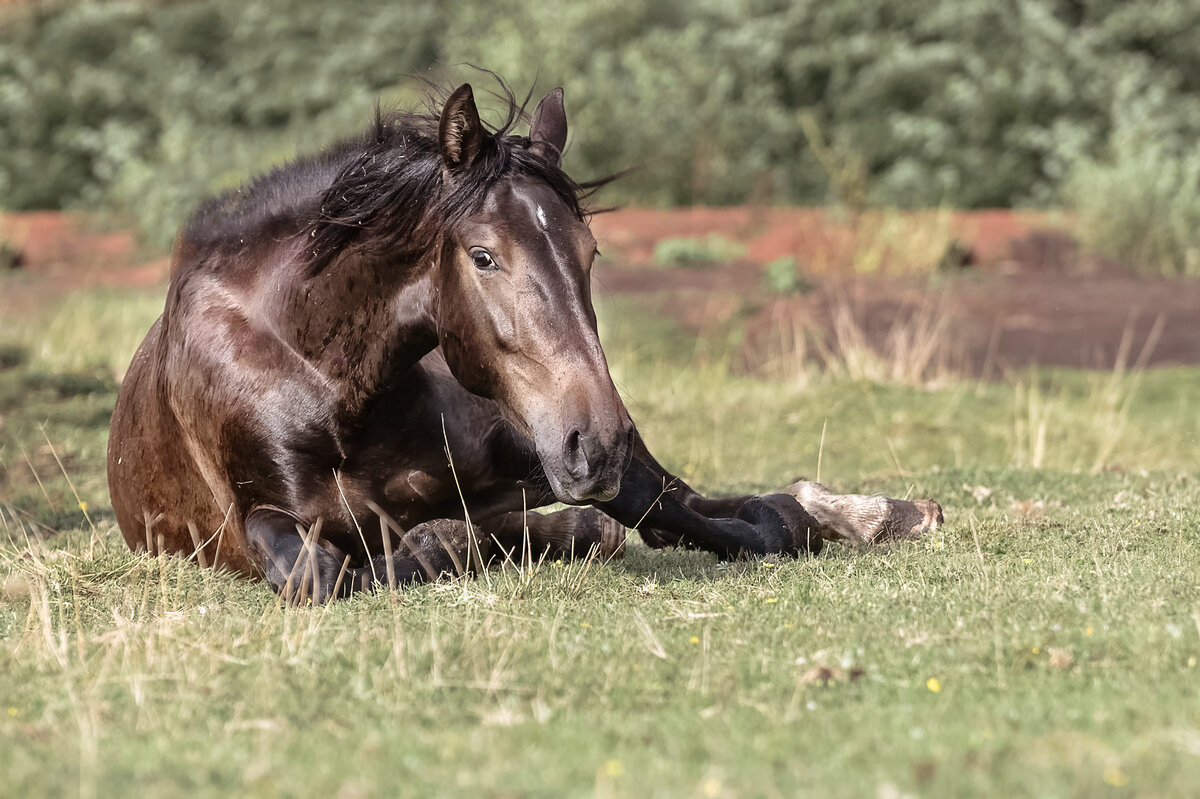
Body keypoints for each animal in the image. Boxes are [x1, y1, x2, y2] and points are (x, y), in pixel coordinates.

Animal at [108, 83, 940, 599]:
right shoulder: (265, 523)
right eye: (483, 256)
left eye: (589, 252)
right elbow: (345, 566)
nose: (596, 440)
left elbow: (751, 519)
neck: (313, 364)